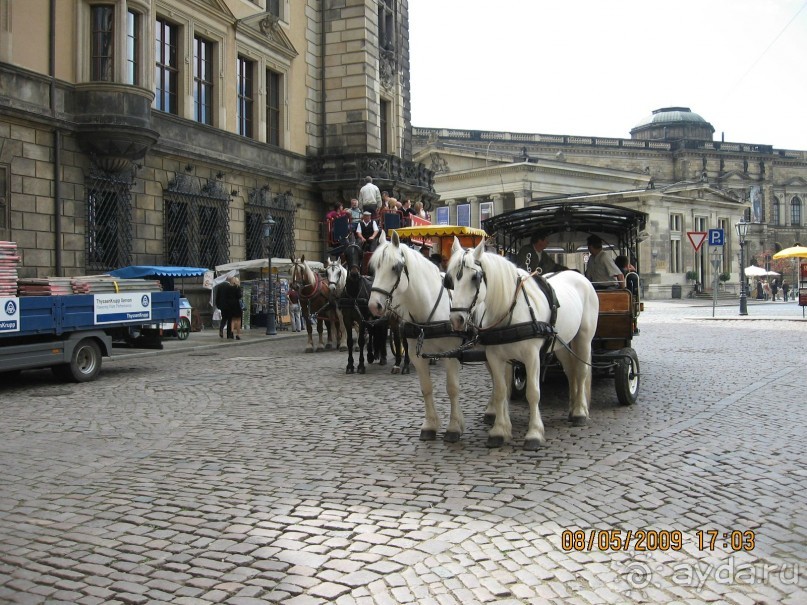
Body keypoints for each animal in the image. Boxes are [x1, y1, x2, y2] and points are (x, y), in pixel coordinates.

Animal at [448, 236, 600, 448]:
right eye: (450, 279)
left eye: (474, 278)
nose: (457, 319)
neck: (509, 310)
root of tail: (579, 276)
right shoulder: (495, 357)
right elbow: (501, 391)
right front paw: (499, 431)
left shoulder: (532, 357)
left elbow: (533, 393)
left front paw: (534, 433)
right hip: (560, 342)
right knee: (571, 371)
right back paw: (573, 408)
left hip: (584, 337)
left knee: (581, 371)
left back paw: (580, 413)